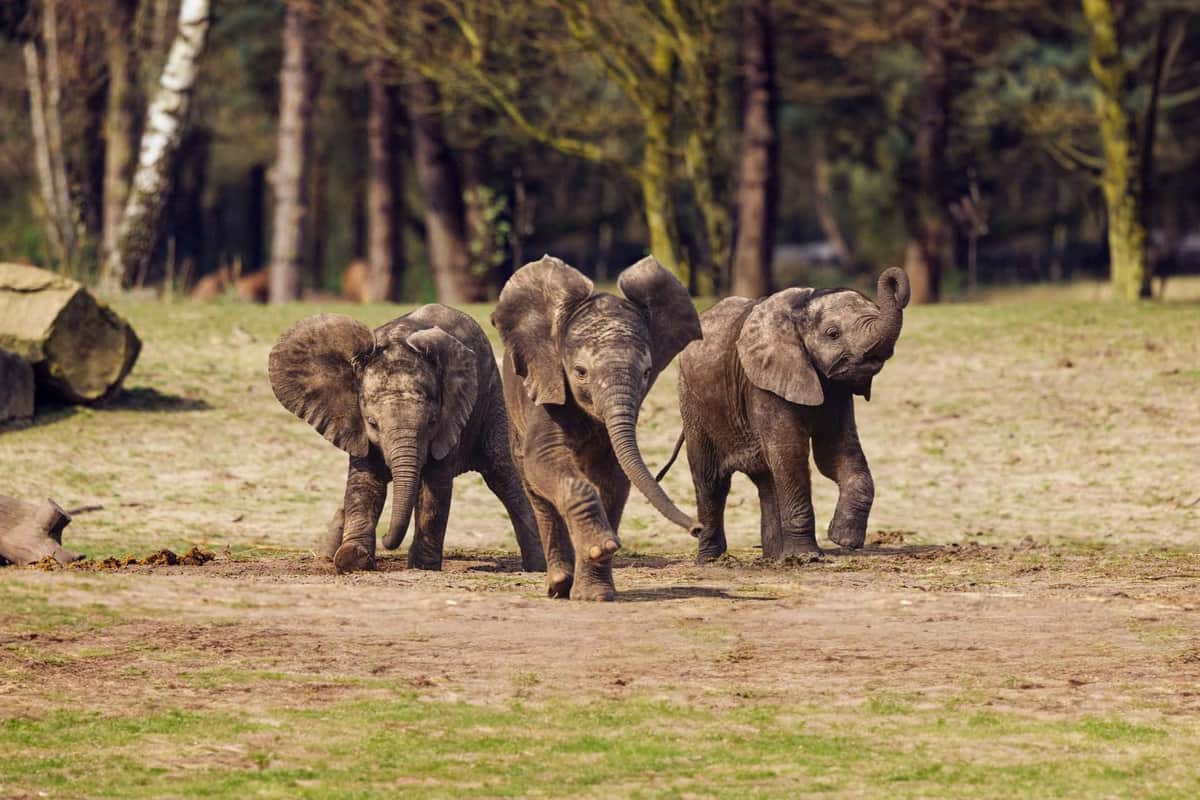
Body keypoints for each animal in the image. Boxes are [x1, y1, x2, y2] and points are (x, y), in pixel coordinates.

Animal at [268, 304, 545, 574]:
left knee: (503, 475)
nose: (385, 540)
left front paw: (422, 566)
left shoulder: (451, 418)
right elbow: (365, 482)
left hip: (492, 396)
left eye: (432, 422)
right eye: (372, 423)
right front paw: (352, 559)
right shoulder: (355, 426)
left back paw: (537, 567)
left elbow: (435, 487)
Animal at [492, 255, 702, 601]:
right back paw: (557, 585)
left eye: (647, 372)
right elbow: (544, 458)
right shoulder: (546, 383)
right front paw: (601, 546)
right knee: (536, 490)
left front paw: (596, 593)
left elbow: (614, 476)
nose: (697, 528)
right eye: (580, 372)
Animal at [657, 268, 910, 562]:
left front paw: (843, 539)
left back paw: (775, 558)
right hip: (693, 403)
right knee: (711, 480)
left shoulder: (836, 390)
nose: (893, 278)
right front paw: (809, 557)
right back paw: (712, 559)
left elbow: (835, 452)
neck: (799, 308)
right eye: (833, 334)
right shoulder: (763, 382)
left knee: (767, 479)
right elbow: (791, 453)